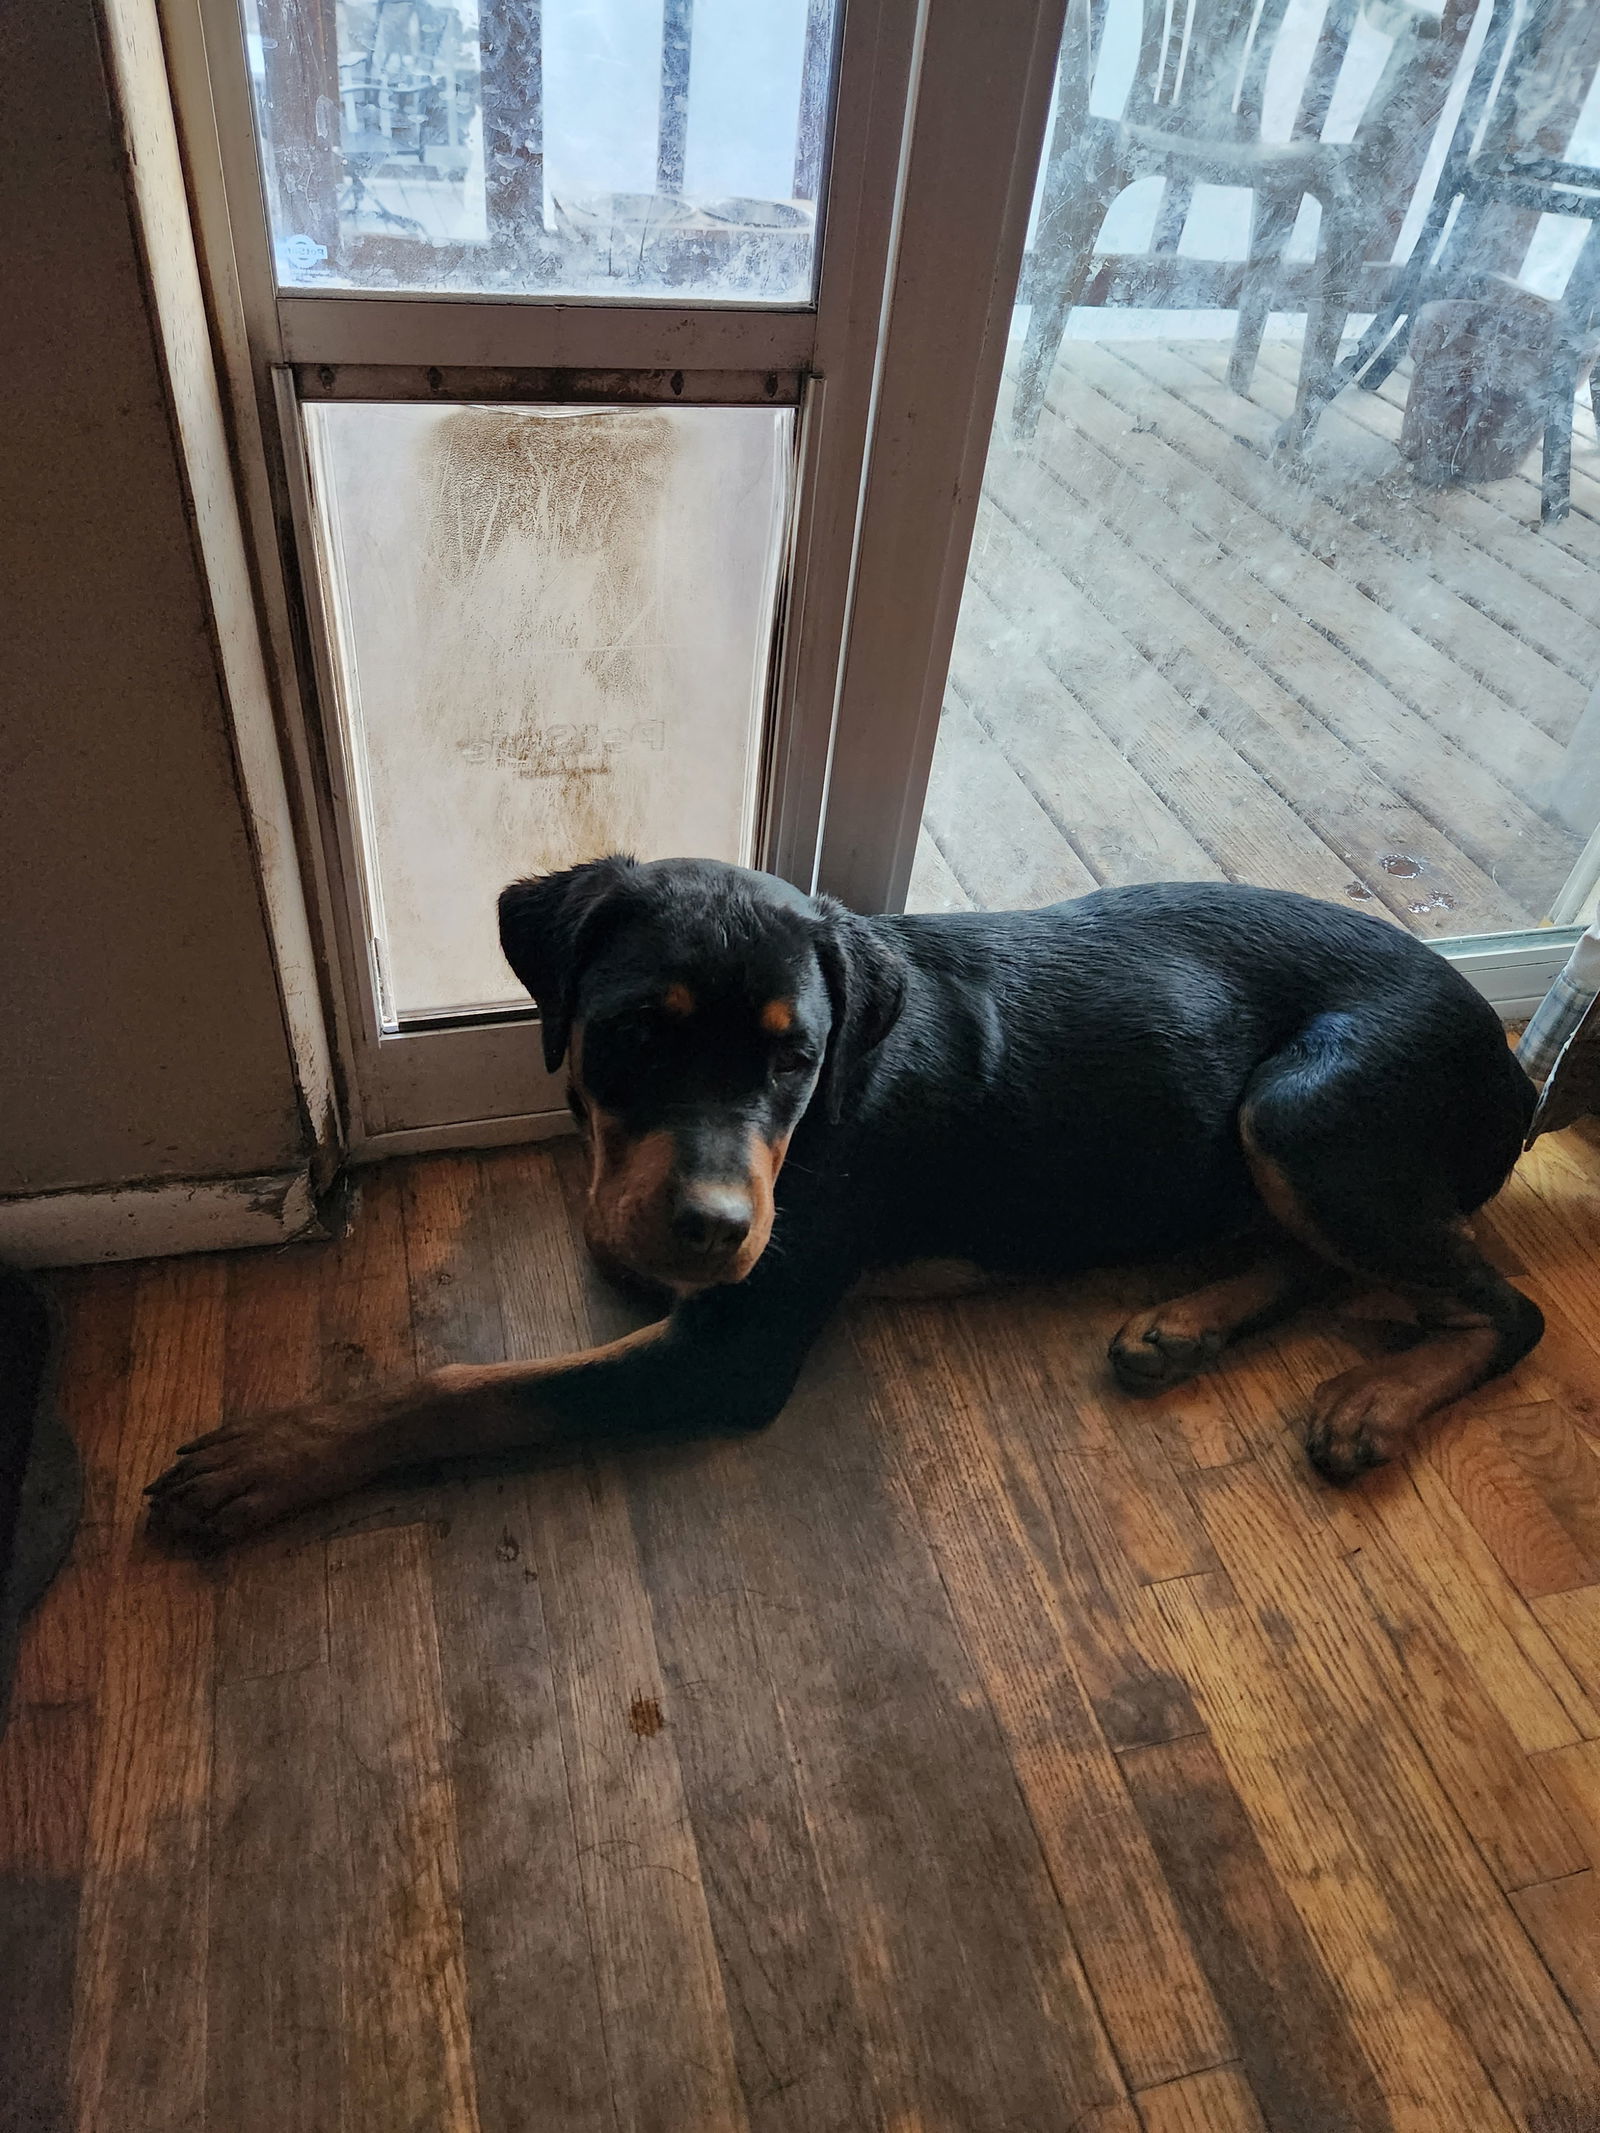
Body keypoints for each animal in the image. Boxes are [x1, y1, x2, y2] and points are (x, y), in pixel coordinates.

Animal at [147, 853, 1544, 1552]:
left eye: (796, 1059)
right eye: (636, 1035)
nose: (714, 1229)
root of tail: (1512, 1066)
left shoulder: (734, 1346)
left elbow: (477, 1388)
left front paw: (276, 1457)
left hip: (1302, 1110)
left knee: (1501, 1306)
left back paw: (1373, 1398)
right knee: (1326, 1258)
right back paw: (1182, 1324)